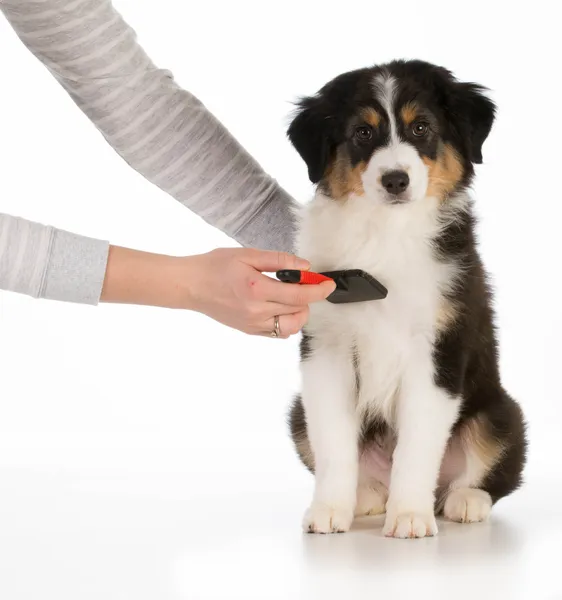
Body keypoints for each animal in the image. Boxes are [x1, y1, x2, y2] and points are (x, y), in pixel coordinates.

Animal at [284, 59, 524, 540]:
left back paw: (464, 502)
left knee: (488, 471)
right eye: (362, 132)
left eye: (421, 127)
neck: (385, 233)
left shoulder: (438, 348)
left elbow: (417, 444)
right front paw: (329, 510)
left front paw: (411, 516)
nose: (395, 180)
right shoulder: (326, 349)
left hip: (501, 415)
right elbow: (333, 440)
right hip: (298, 413)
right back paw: (367, 496)